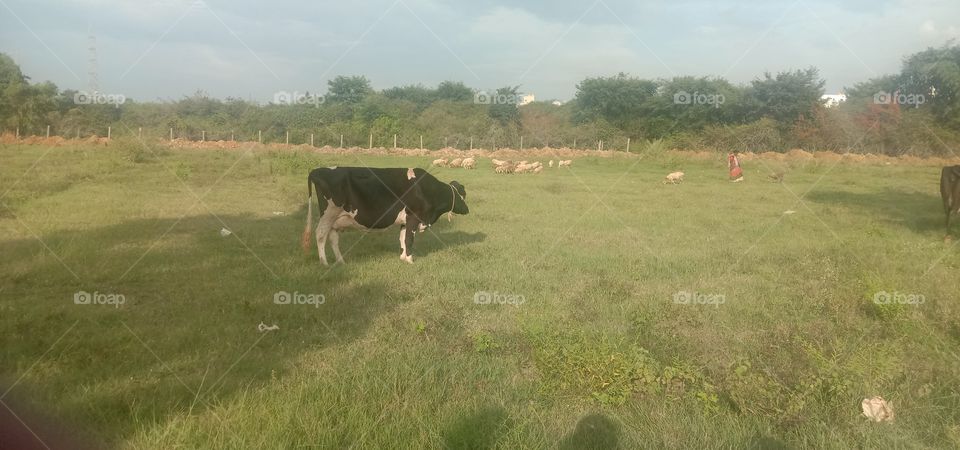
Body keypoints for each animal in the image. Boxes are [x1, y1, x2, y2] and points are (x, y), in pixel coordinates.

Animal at [302, 167, 469, 264]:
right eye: (463, 195)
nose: (467, 210)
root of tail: (318, 170)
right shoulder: (413, 217)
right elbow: (409, 239)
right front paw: (410, 260)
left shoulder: (405, 220)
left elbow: (402, 237)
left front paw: (403, 258)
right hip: (329, 213)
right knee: (320, 234)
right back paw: (324, 262)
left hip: (336, 219)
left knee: (333, 238)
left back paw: (341, 261)